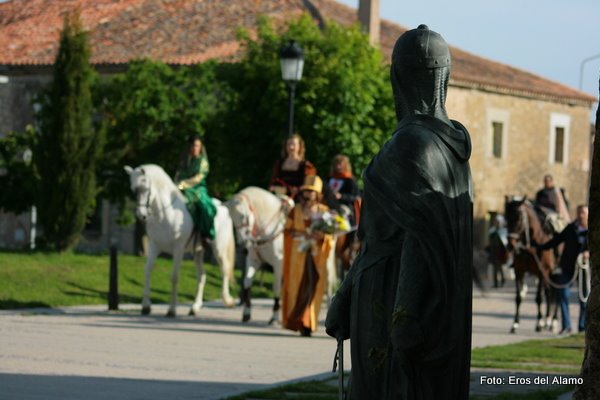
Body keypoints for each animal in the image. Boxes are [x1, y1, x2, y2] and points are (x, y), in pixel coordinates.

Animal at [123, 164, 234, 318]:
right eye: (133, 189)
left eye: (144, 188)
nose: (141, 215)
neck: (165, 214)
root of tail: (223, 206)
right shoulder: (154, 246)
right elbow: (147, 271)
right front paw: (145, 306)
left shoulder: (178, 249)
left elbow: (174, 277)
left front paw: (172, 309)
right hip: (198, 251)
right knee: (202, 275)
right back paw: (195, 307)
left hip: (219, 249)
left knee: (224, 270)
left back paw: (227, 300)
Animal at [224, 186, 294, 324]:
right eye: (232, 218)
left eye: (244, 216)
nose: (241, 244)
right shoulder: (253, 260)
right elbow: (247, 283)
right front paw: (246, 313)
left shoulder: (278, 263)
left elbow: (276, 288)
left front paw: (274, 317)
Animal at [506, 198, 556, 334]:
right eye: (506, 218)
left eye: (519, 218)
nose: (510, 245)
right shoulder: (519, 272)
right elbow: (518, 297)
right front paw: (515, 324)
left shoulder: (541, 272)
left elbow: (538, 298)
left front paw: (538, 323)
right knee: (548, 292)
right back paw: (547, 320)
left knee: (556, 294)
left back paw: (552, 321)